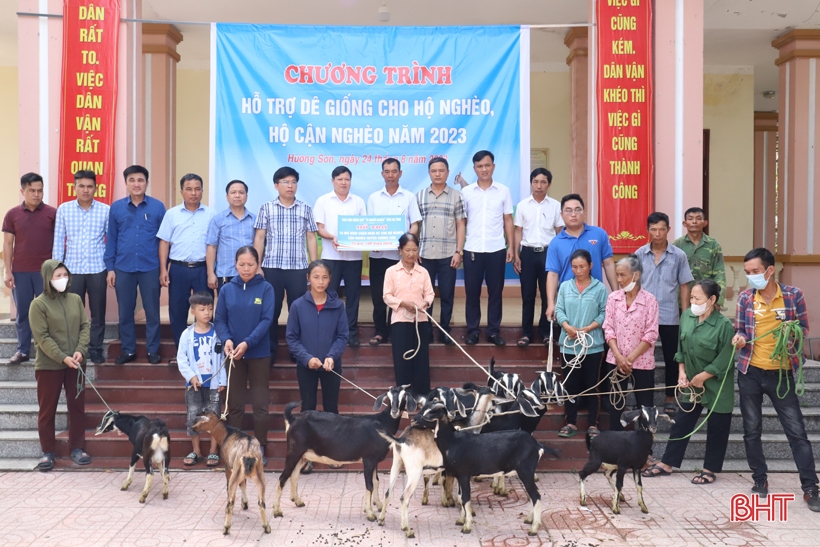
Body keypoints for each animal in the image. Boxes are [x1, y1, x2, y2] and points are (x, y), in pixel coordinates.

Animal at [274, 386, 416, 524]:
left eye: (403, 396)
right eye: (389, 396)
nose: (394, 411)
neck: (382, 423)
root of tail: (292, 418)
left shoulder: (375, 460)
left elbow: (376, 482)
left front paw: (379, 505)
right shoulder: (368, 460)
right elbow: (369, 486)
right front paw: (370, 513)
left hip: (304, 455)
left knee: (294, 475)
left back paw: (297, 501)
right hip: (294, 451)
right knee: (282, 477)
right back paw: (277, 511)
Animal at [410, 400, 556, 536]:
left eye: (431, 412)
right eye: (423, 408)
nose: (413, 420)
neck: (452, 442)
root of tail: (537, 445)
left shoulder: (464, 474)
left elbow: (465, 498)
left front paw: (467, 526)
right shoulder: (459, 475)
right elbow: (460, 497)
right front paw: (461, 520)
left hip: (525, 471)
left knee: (535, 495)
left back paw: (534, 528)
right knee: (533, 495)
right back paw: (529, 520)